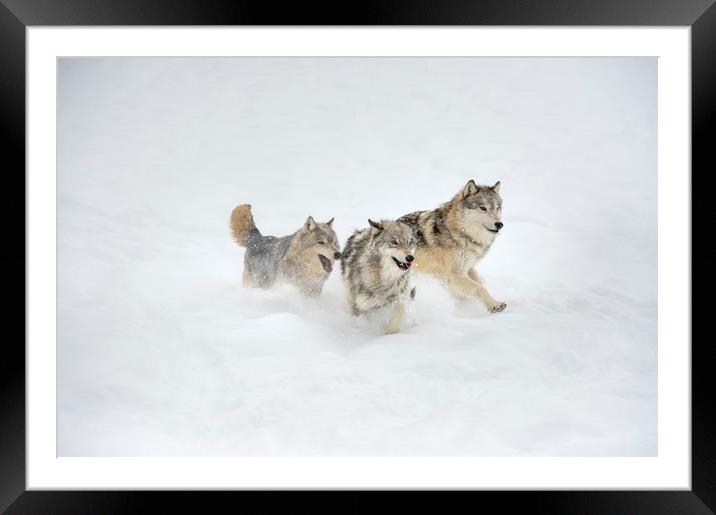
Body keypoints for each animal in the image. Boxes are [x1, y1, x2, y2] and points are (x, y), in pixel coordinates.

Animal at [394, 179, 506, 312]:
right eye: (483, 208)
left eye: (497, 208)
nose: (499, 224)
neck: (459, 232)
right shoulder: (454, 274)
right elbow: (478, 288)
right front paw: (495, 305)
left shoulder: (467, 268)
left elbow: (478, 282)